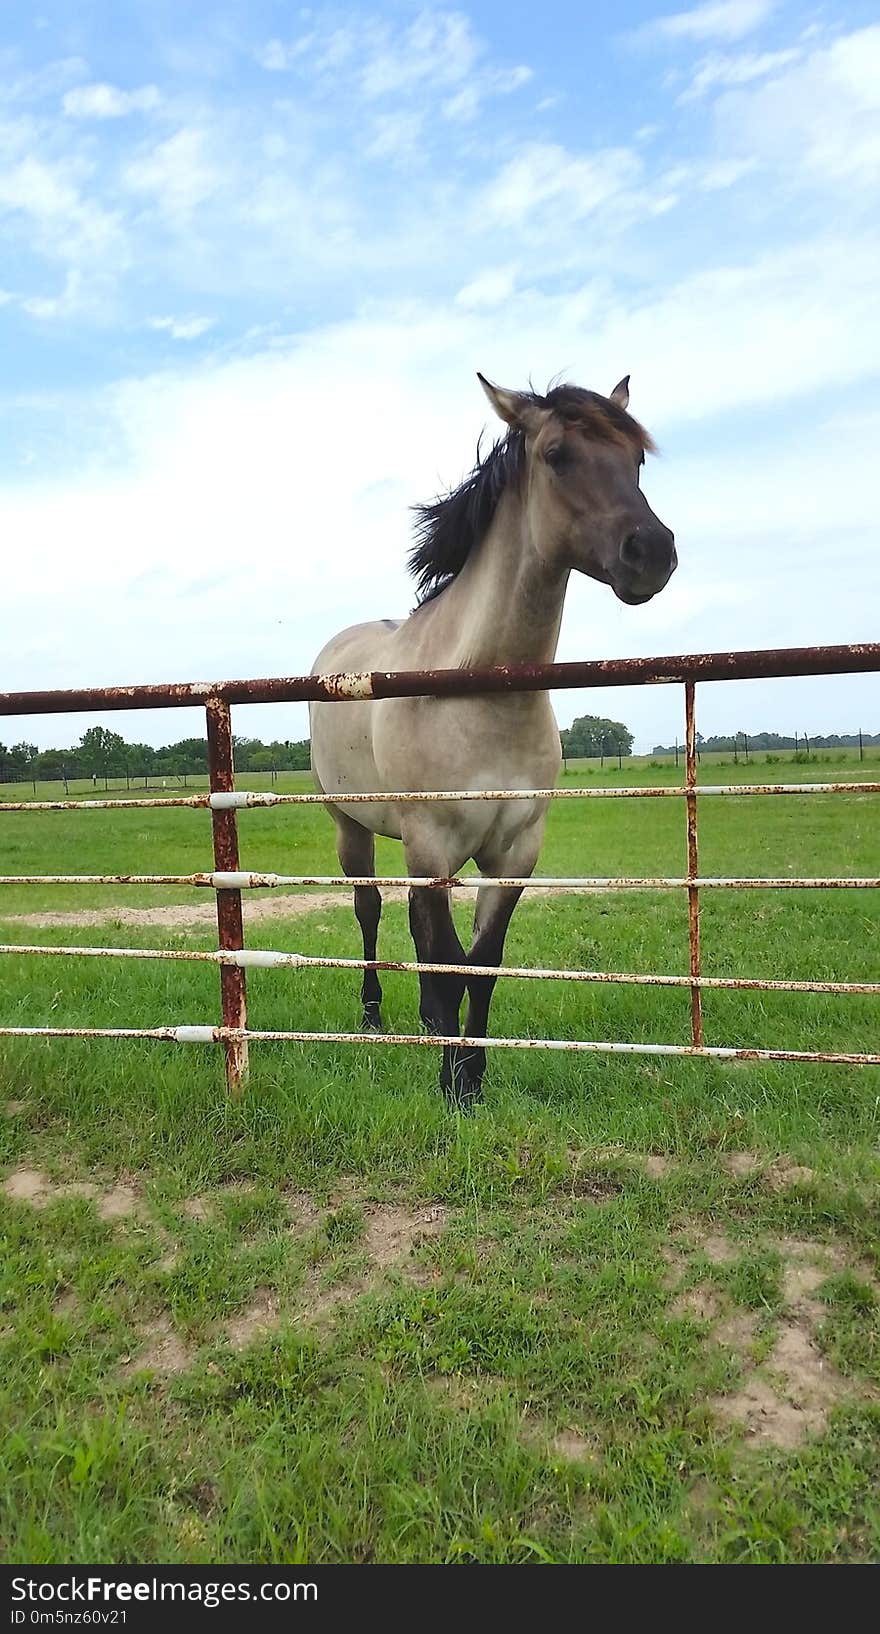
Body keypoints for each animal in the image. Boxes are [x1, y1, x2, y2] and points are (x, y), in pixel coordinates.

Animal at [313, 374, 679, 1104]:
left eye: (637, 459)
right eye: (558, 455)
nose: (652, 552)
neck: (482, 692)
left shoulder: (514, 851)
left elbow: (482, 962)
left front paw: (472, 1078)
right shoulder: (432, 845)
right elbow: (448, 960)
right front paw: (450, 1082)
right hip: (351, 825)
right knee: (369, 910)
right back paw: (373, 1017)